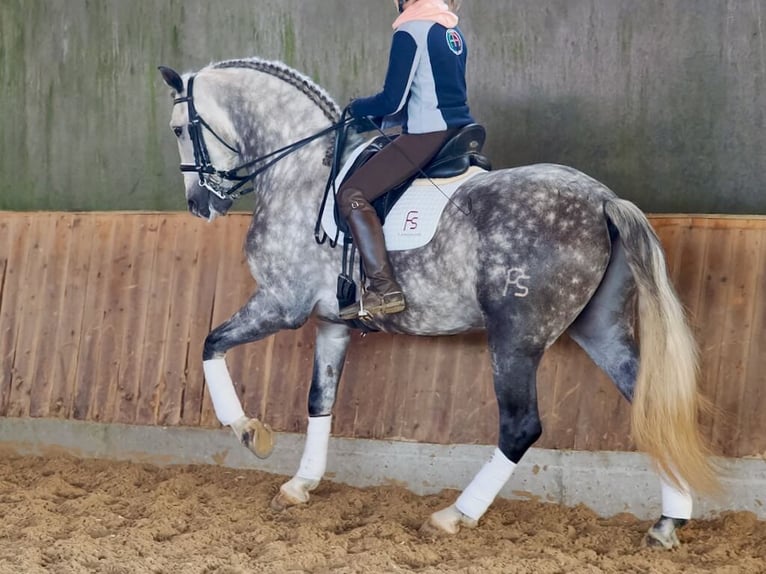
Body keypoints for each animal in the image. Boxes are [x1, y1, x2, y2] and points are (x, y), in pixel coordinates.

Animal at [160, 60, 720, 552]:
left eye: (179, 129)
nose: (198, 205)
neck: (301, 170)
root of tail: (604, 199)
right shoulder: (331, 323)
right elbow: (320, 400)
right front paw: (301, 484)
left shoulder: (281, 304)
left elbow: (211, 344)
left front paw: (248, 431)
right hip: (599, 330)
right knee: (650, 405)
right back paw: (668, 523)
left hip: (516, 338)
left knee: (520, 426)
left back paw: (454, 515)